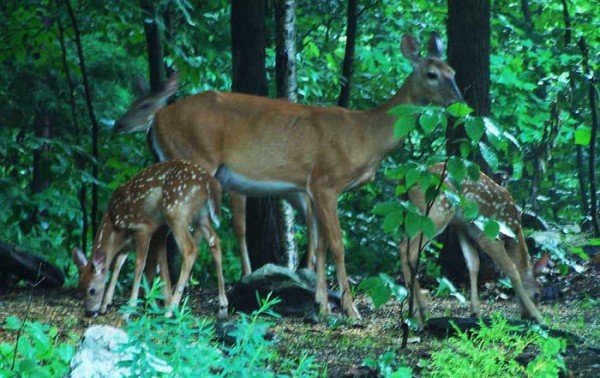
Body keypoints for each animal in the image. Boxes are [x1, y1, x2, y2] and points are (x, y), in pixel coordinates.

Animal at [72, 161, 227, 318]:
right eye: (79, 288)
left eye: (92, 290)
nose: (89, 312)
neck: (114, 228)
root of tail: (210, 182)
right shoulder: (131, 243)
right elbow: (118, 265)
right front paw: (106, 303)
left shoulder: (144, 228)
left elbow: (140, 265)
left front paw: (130, 309)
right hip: (200, 216)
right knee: (215, 241)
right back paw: (222, 306)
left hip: (176, 211)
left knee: (190, 249)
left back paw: (170, 311)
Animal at [113, 32, 460, 318]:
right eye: (432, 74)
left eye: (452, 72)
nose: (459, 100)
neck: (365, 136)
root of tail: (158, 118)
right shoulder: (325, 182)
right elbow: (337, 245)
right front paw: (350, 311)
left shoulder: (309, 188)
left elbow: (318, 246)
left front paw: (323, 307)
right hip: (193, 161)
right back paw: (168, 303)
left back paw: (162, 301)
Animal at [400, 162, 548, 324]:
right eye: (537, 294)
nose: (525, 316)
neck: (514, 233)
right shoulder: (489, 235)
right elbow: (512, 269)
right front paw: (538, 317)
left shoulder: (464, 228)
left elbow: (473, 263)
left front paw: (475, 311)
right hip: (439, 209)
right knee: (409, 250)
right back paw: (416, 316)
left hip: (418, 214)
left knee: (403, 245)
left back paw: (421, 311)